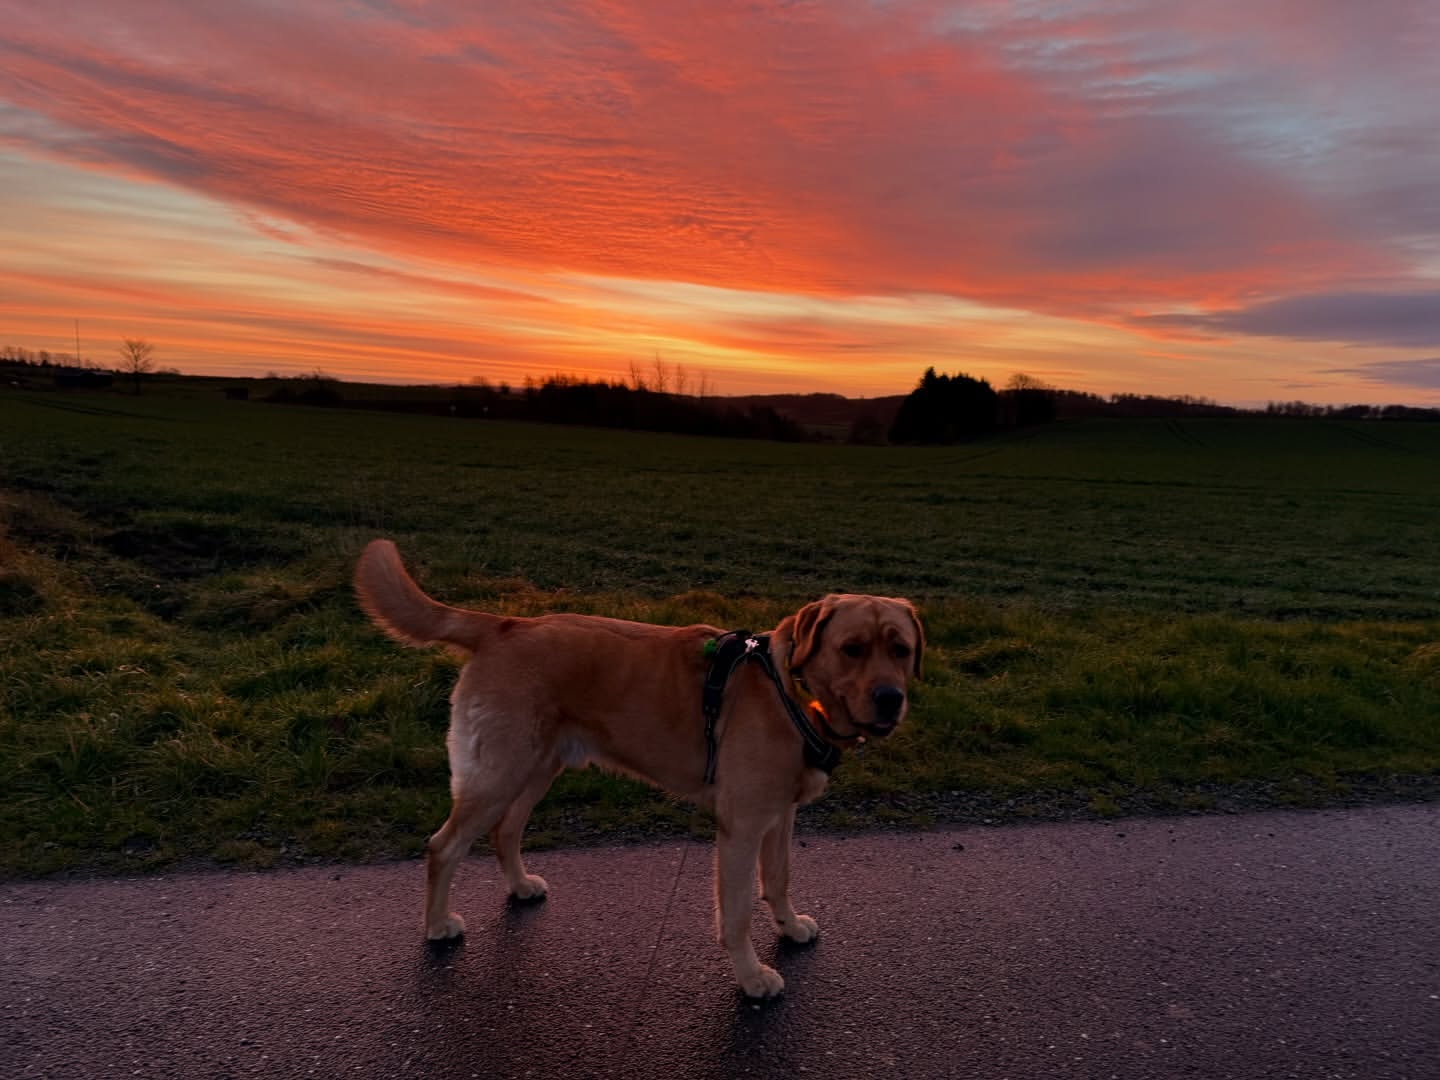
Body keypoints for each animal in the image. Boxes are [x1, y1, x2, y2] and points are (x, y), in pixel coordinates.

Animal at [354, 539, 923, 997]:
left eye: (901, 649)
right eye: (852, 649)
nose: (890, 698)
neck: (793, 691)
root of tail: (506, 624)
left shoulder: (780, 815)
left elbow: (779, 878)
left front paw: (788, 926)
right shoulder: (741, 828)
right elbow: (737, 914)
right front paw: (751, 977)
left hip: (537, 768)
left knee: (505, 830)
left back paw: (518, 886)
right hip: (498, 772)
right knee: (442, 846)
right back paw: (436, 925)